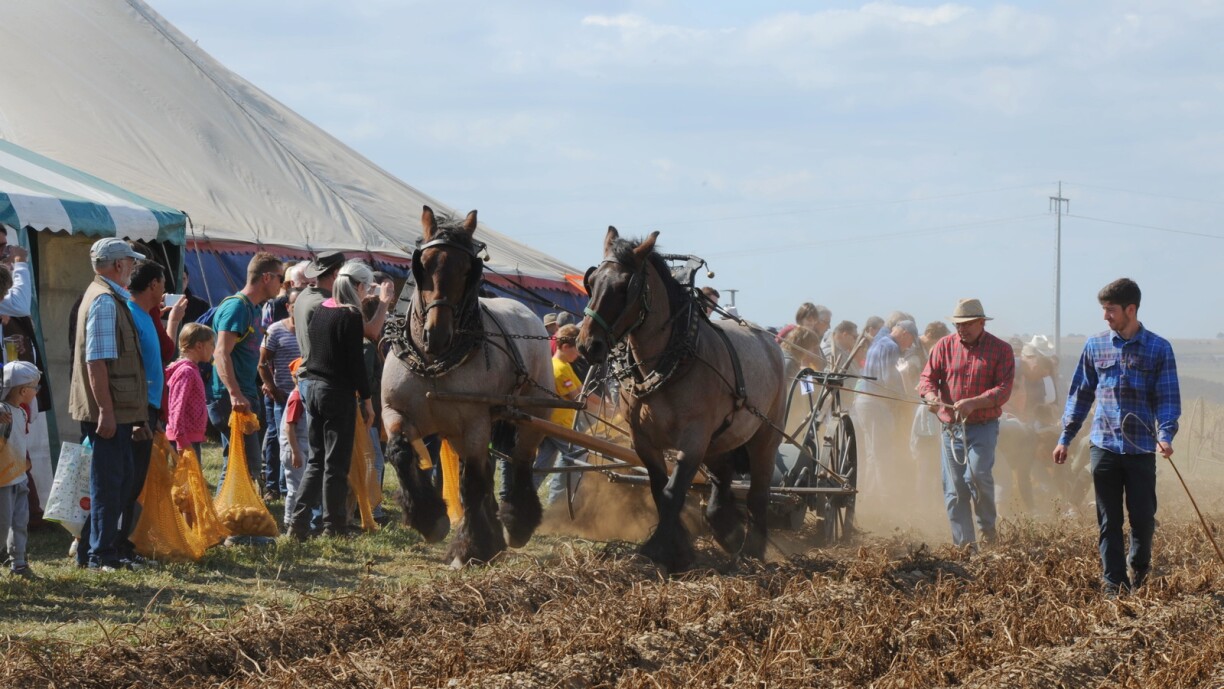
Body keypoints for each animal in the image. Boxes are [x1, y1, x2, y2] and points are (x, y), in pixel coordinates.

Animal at [381, 206, 553, 566]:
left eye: (465, 270)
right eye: (424, 264)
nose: (436, 334)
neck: (433, 362)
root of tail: (528, 312)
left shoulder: (474, 422)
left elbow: (472, 482)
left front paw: (469, 547)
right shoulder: (395, 412)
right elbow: (399, 453)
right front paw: (430, 518)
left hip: (530, 414)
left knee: (520, 459)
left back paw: (516, 524)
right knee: (489, 467)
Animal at [577, 227, 787, 572]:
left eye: (624, 287)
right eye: (591, 282)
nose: (587, 345)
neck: (672, 361)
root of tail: (771, 344)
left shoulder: (693, 439)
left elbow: (673, 491)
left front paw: (658, 549)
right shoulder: (643, 441)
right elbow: (658, 490)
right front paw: (679, 548)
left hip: (765, 436)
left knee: (758, 491)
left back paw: (752, 549)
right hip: (720, 441)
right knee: (722, 482)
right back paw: (727, 531)